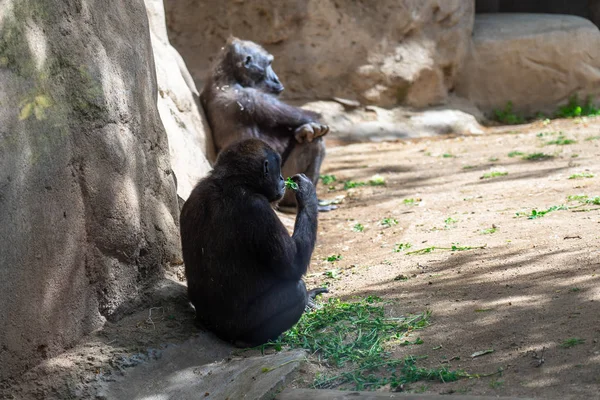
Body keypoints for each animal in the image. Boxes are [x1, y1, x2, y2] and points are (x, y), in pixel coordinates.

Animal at [180, 139, 328, 346]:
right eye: (277, 168)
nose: (282, 178)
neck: (232, 181)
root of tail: (214, 329)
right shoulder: (258, 208)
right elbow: (293, 265)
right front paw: (306, 193)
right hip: (237, 328)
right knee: (295, 291)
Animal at [200, 37, 332, 211]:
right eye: (268, 63)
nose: (276, 79)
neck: (228, 75)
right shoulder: (252, 96)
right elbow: (310, 119)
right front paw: (309, 128)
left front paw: (304, 130)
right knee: (314, 143)